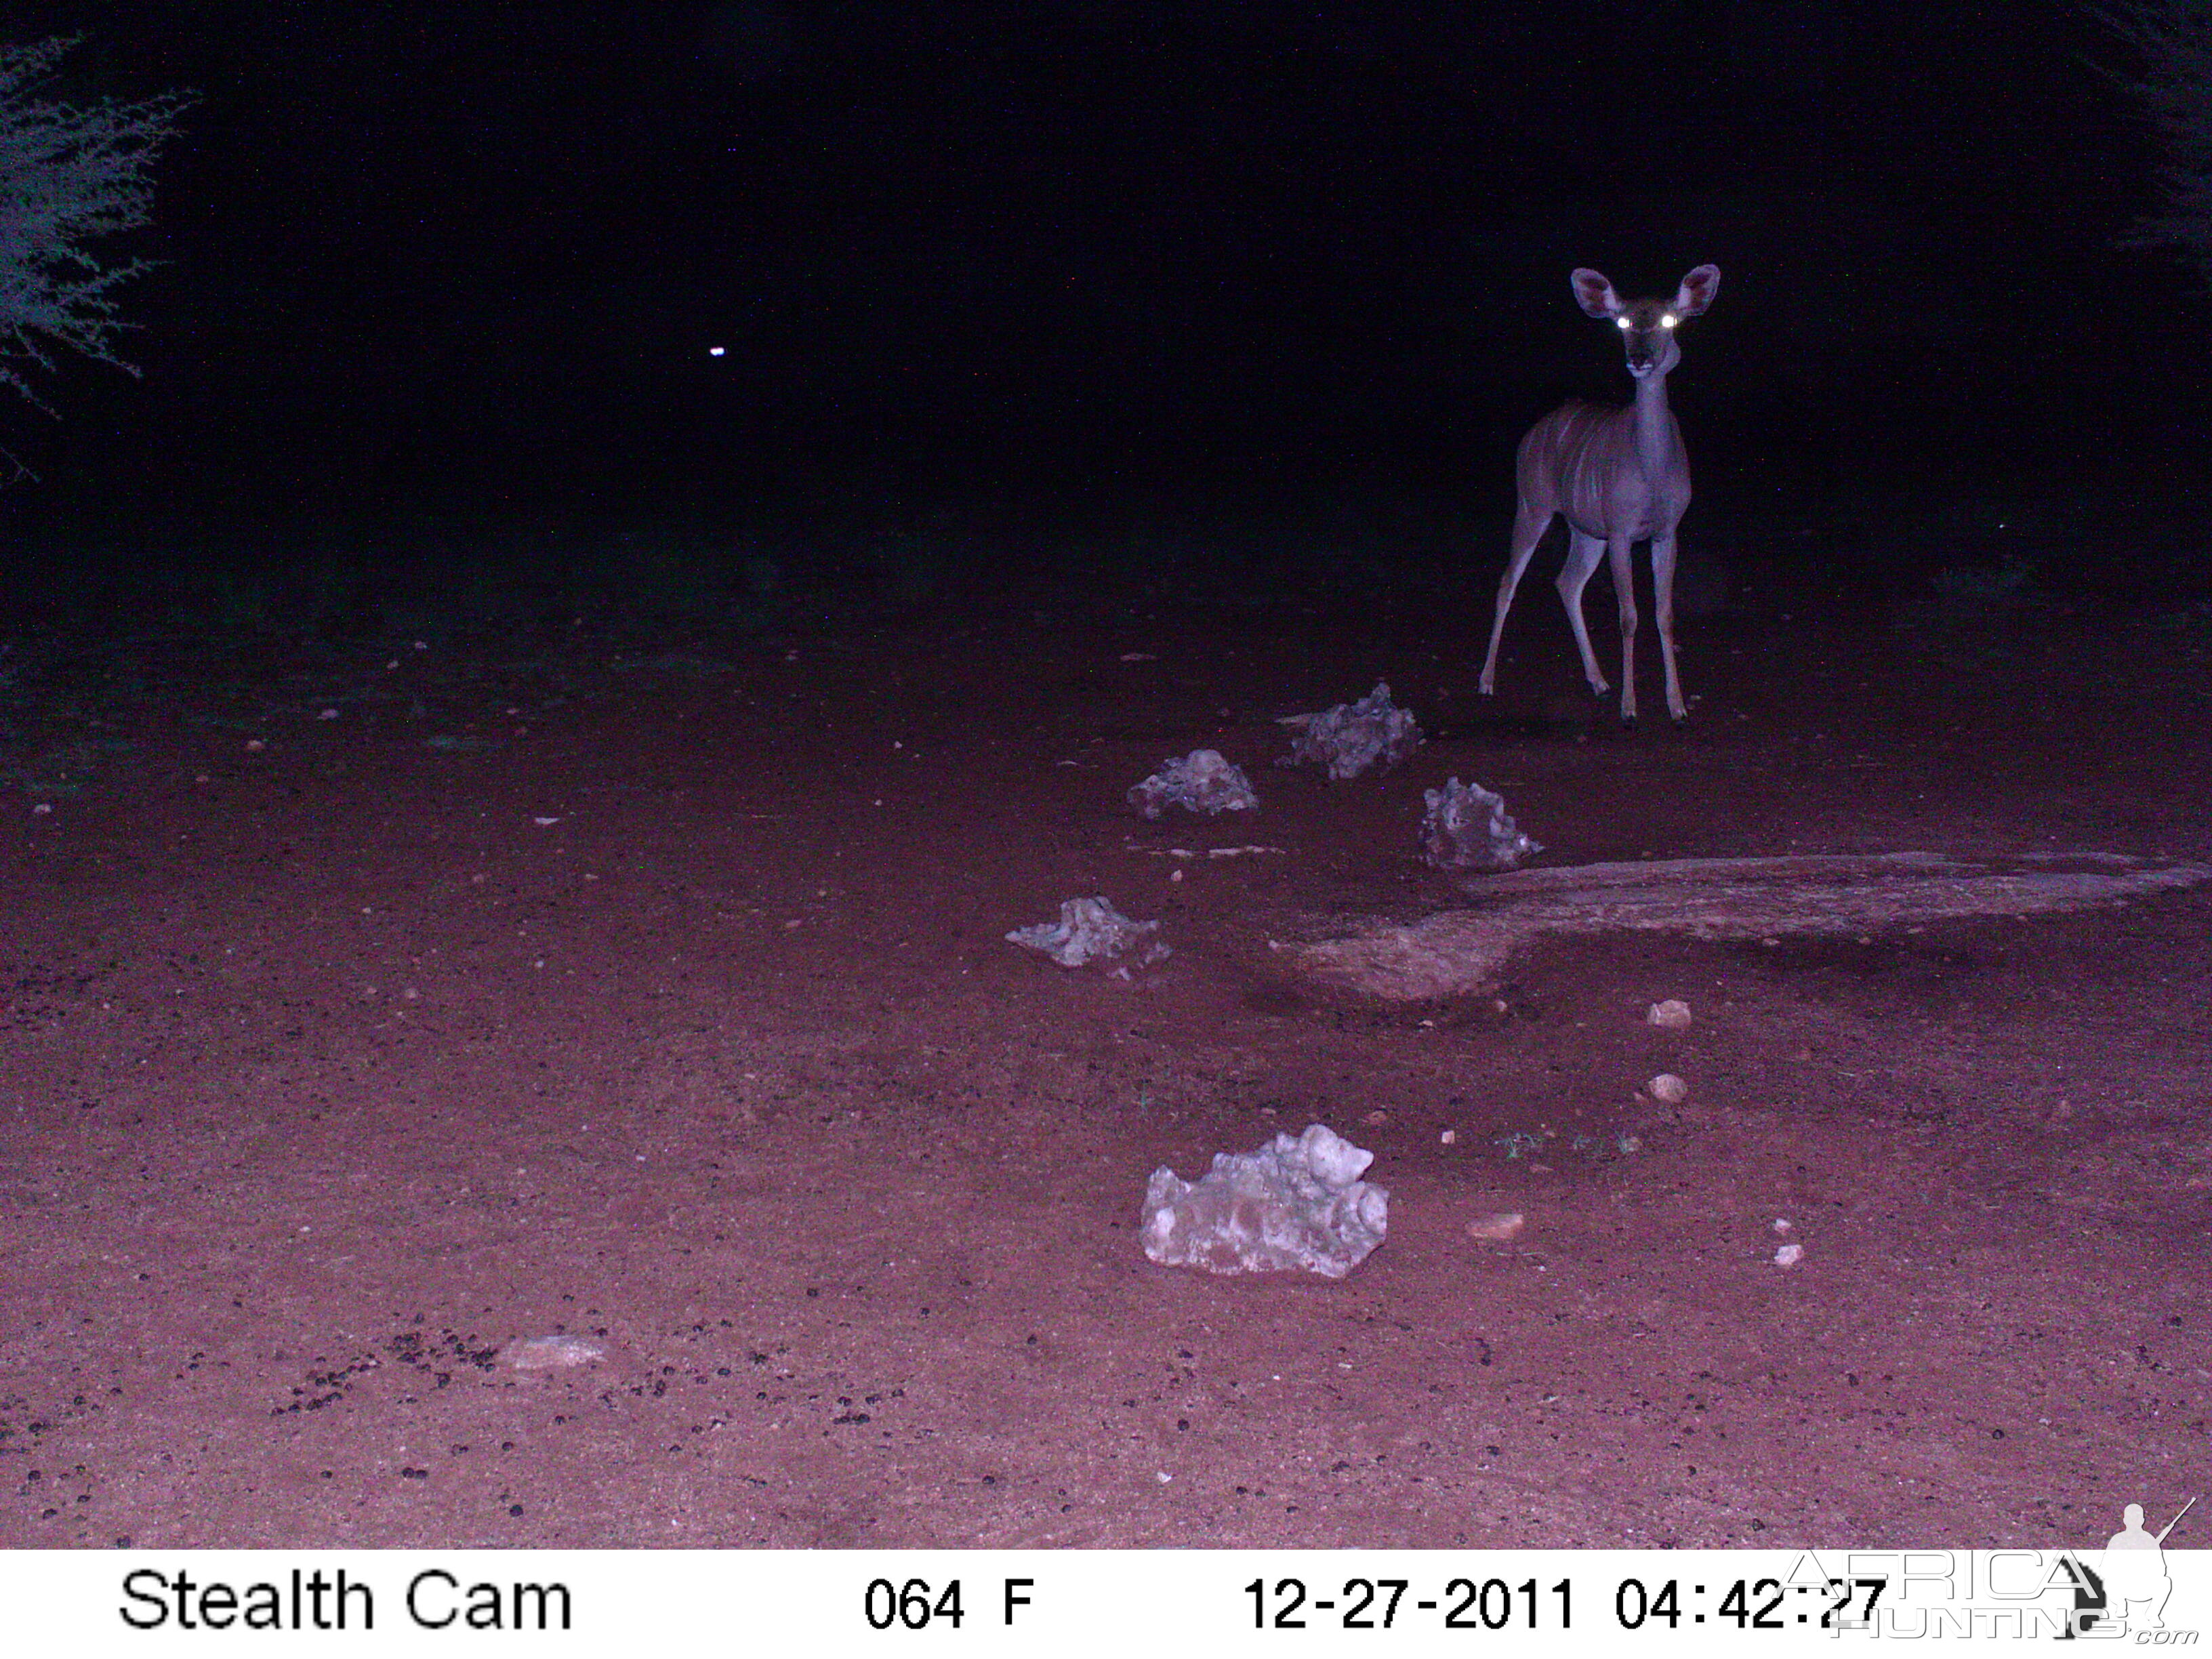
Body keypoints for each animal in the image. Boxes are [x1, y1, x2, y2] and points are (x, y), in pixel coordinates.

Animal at [1477, 264, 1716, 721]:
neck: (1651, 473)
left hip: (1586, 530)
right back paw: (1486, 682)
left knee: (1567, 582)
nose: (1639, 358)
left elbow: (1665, 615)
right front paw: (1631, 710)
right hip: (1533, 505)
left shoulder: (1666, 531)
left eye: (1668, 320)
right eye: (1621, 322)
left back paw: (1599, 681)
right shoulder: (1622, 530)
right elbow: (1629, 616)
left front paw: (1677, 707)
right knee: (1508, 581)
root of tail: (1530, 437)